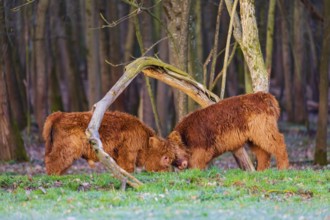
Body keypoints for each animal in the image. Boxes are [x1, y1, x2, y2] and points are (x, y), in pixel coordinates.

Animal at [43, 111, 175, 174]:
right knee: (53, 160)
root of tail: (60, 114)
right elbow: (128, 166)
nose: (167, 171)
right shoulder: (128, 152)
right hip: (66, 150)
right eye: (165, 157)